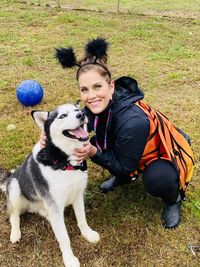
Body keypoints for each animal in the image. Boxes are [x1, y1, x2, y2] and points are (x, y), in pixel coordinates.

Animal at [0, 103, 100, 267]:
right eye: (62, 116)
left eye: (76, 110)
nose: (82, 114)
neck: (65, 162)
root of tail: (10, 176)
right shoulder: (54, 205)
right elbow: (64, 237)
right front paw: (69, 259)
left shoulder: (78, 195)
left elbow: (82, 220)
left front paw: (88, 234)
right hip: (14, 186)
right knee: (14, 216)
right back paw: (15, 233)